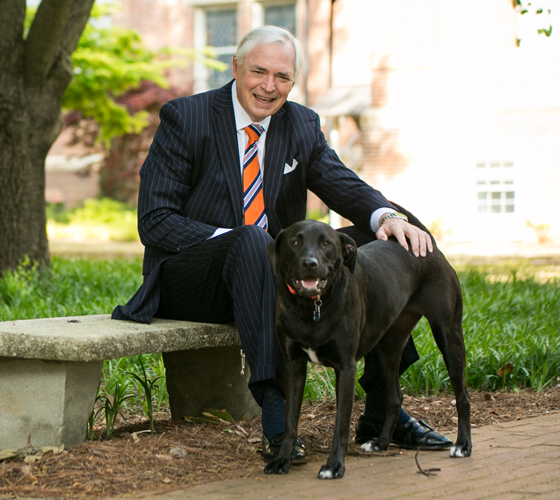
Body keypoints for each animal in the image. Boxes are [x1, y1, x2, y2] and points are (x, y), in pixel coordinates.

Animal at [264, 209, 470, 478]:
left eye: (326, 243)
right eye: (294, 242)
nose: (310, 263)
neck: (312, 307)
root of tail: (429, 246)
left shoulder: (346, 368)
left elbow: (341, 424)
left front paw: (334, 466)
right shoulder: (294, 366)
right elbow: (290, 421)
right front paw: (282, 460)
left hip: (449, 337)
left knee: (462, 397)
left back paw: (463, 445)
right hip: (386, 350)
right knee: (395, 397)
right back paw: (380, 443)